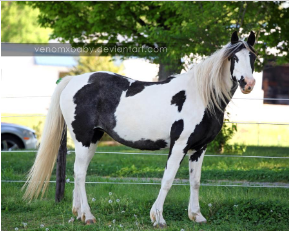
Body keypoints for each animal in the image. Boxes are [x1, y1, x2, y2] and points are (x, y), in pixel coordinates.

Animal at [23, 31, 255, 227]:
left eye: (253, 57)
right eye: (234, 58)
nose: (249, 83)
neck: (201, 96)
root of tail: (73, 81)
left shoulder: (199, 149)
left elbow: (195, 181)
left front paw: (196, 216)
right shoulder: (179, 145)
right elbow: (168, 179)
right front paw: (158, 218)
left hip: (93, 139)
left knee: (80, 171)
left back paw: (78, 213)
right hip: (83, 138)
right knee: (80, 173)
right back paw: (88, 216)